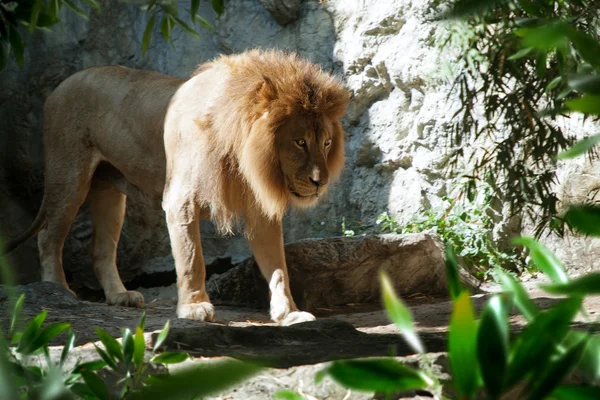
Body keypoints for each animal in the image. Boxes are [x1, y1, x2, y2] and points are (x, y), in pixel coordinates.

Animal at [3, 49, 346, 324]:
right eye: (300, 142)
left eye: (326, 143)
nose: (321, 182)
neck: (241, 156)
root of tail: (60, 86)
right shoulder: (181, 201)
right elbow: (192, 259)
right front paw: (194, 308)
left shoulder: (260, 211)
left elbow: (278, 268)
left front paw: (289, 313)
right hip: (69, 176)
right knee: (49, 236)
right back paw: (57, 289)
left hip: (108, 191)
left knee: (100, 249)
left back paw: (120, 296)